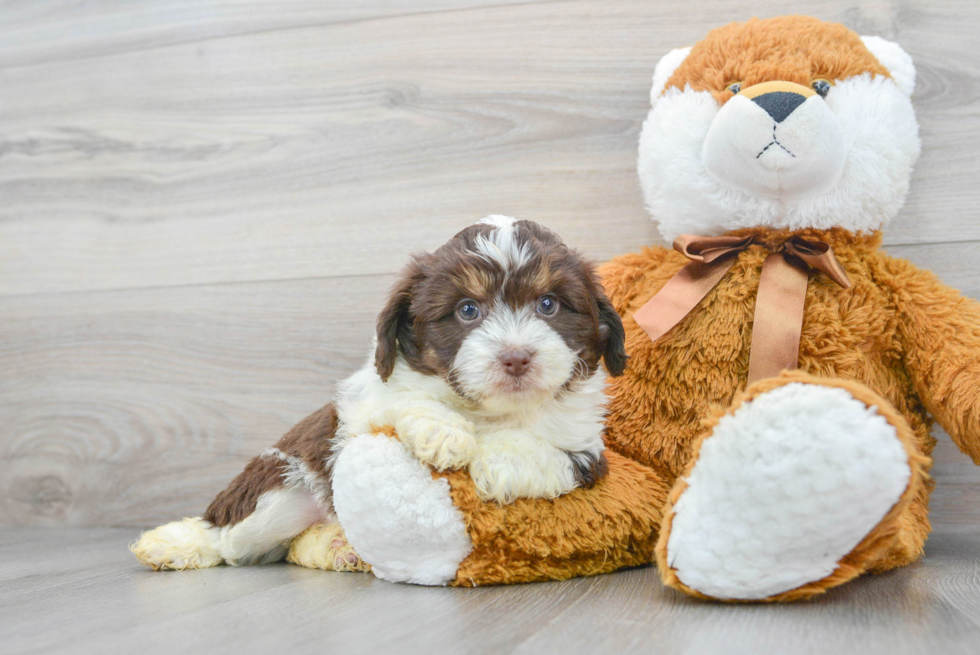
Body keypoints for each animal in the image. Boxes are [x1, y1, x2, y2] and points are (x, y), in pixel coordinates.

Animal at [130, 218, 624, 572]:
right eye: (468, 310)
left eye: (549, 305)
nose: (517, 358)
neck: (491, 410)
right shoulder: (363, 404)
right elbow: (403, 398)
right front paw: (444, 432)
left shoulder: (586, 448)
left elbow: (547, 451)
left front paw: (501, 459)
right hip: (279, 489)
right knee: (231, 541)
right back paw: (175, 545)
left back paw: (336, 546)